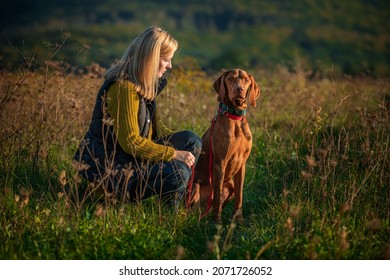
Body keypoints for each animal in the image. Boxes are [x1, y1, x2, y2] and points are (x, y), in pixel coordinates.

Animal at [191, 68, 260, 223]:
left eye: (246, 80)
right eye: (230, 79)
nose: (239, 89)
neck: (235, 118)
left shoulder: (242, 164)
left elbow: (239, 196)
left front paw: (238, 219)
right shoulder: (220, 162)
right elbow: (216, 197)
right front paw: (217, 223)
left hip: (230, 184)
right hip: (195, 185)